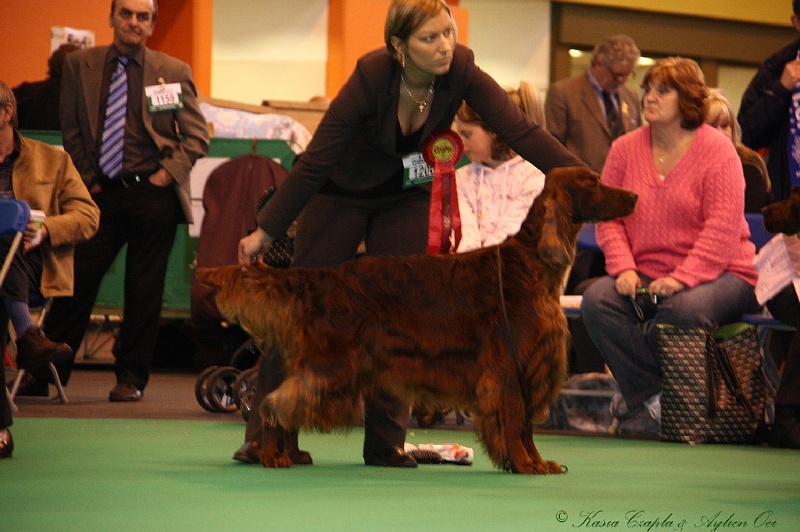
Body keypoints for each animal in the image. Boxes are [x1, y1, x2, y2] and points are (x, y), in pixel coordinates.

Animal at [195, 166, 636, 474]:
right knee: (275, 403)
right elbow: (515, 424)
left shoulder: (528, 367)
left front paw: (536, 462)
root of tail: (318, 277)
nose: (632, 195)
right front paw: (526, 465)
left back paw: (292, 453)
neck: (531, 264)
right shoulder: (510, 367)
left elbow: (524, 426)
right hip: (331, 365)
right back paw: (272, 456)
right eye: (593, 183)